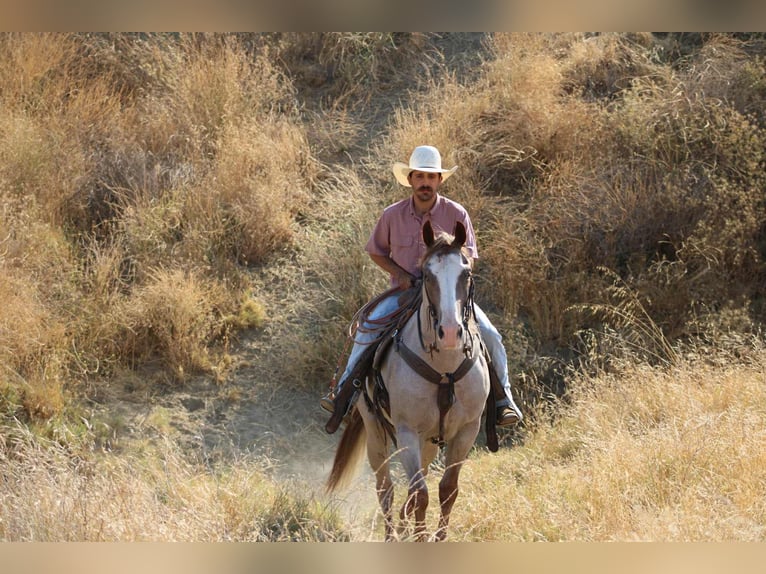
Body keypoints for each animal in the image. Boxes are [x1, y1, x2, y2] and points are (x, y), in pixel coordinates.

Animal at [326, 220, 491, 541]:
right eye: (427, 275)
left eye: (465, 274)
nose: (450, 332)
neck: (444, 369)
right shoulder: (406, 432)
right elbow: (420, 494)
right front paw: (419, 537)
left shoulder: (467, 431)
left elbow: (447, 490)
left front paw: (436, 538)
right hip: (376, 433)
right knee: (385, 489)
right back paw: (392, 534)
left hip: (428, 441)